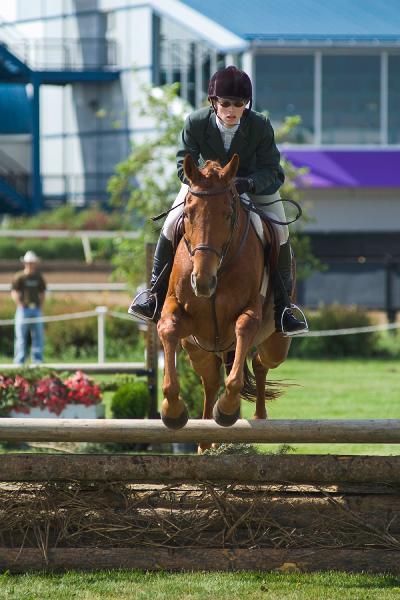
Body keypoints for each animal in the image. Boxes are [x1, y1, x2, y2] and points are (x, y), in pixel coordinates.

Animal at [158, 155, 292, 450]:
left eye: (228, 215)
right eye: (188, 214)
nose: (202, 282)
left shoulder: (250, 312)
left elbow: (243, 329)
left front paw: (228, 409)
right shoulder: (183, 317)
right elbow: (168, 329)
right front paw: (172, 411)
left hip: (276, 342)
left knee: (260, 362)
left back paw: (257, 416)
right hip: (198, 350)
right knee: (210, 381)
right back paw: (206, 438)